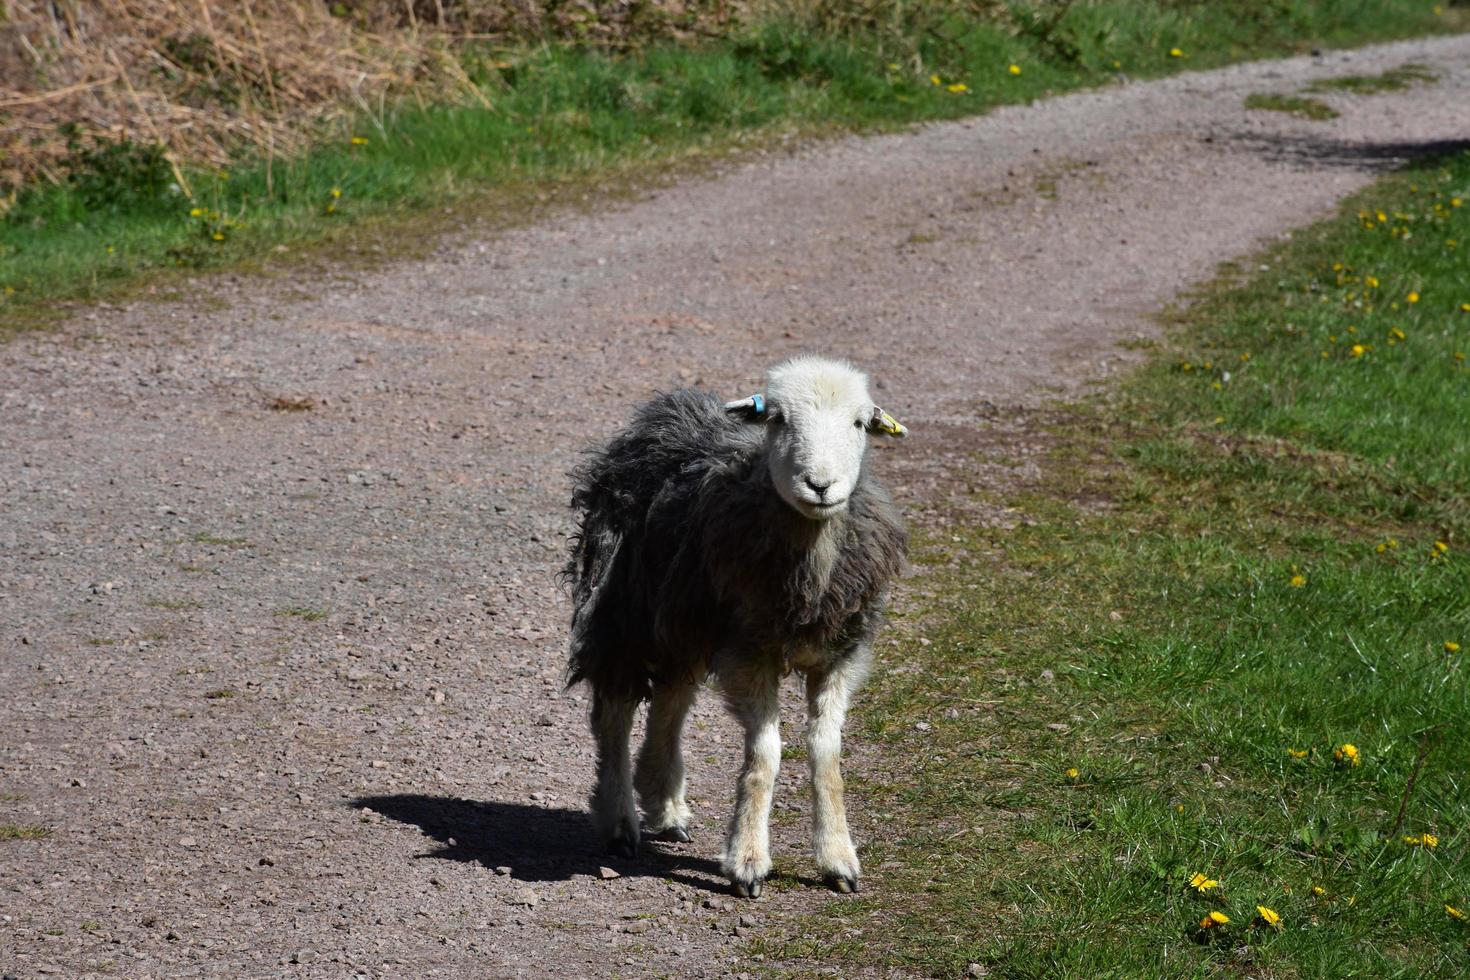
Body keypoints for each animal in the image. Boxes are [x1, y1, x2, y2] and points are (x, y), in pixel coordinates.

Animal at [561, 354, 905, 899]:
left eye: (858, 423)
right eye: (778, 420)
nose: (821, 485)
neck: (809, 575)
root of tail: (667, 411)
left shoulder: (840, 655)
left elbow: (826, 753)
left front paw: (838, 858)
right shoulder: (750, 652)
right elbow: (765, 755)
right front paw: (748, 861)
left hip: (685, 621)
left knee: (672, 698)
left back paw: (665, 805)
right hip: (622, 611)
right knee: (613, 714)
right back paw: (619, 822)